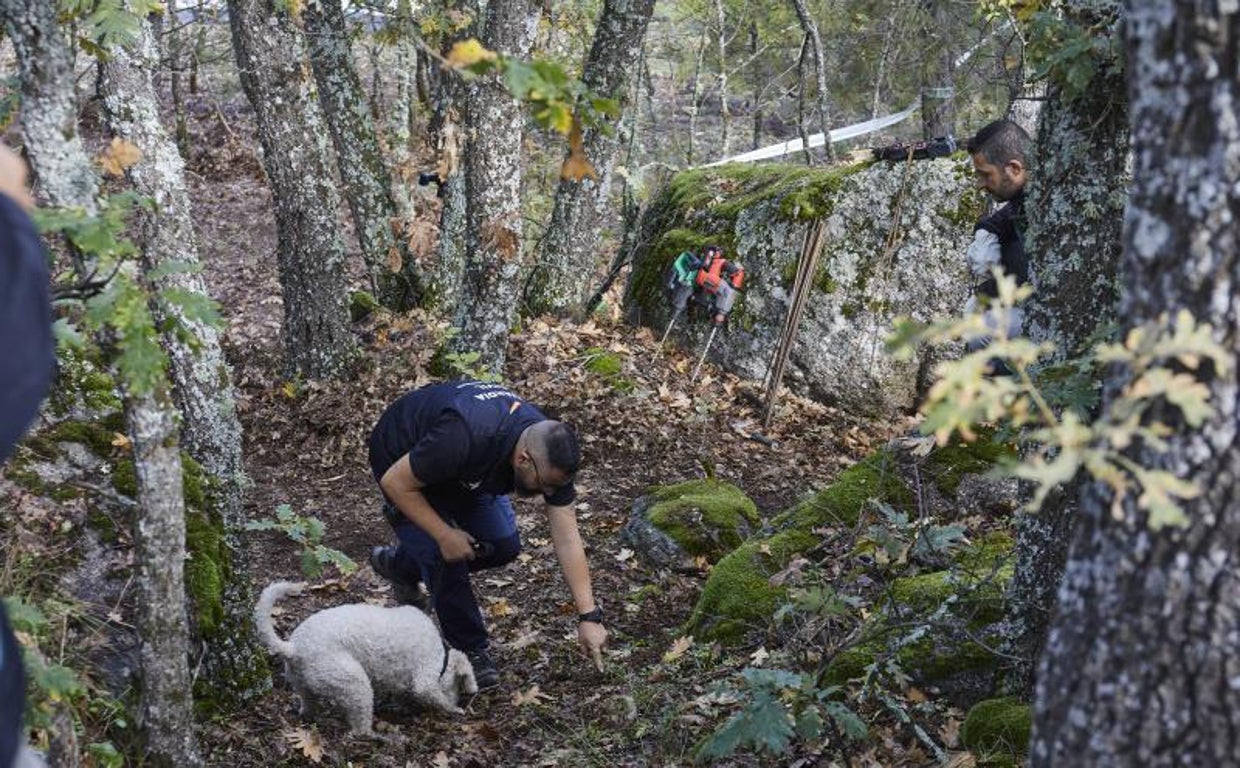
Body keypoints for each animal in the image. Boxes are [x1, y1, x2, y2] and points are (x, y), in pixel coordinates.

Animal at [254, 583, 476, 734]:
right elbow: (434, 696)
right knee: (359, 726)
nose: (459, 700)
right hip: (352, 682)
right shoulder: (425, 679)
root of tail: (294, 648)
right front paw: (454, 709)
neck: (442, 658)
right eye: (457, 684)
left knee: (308, 706)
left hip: (303, 685)